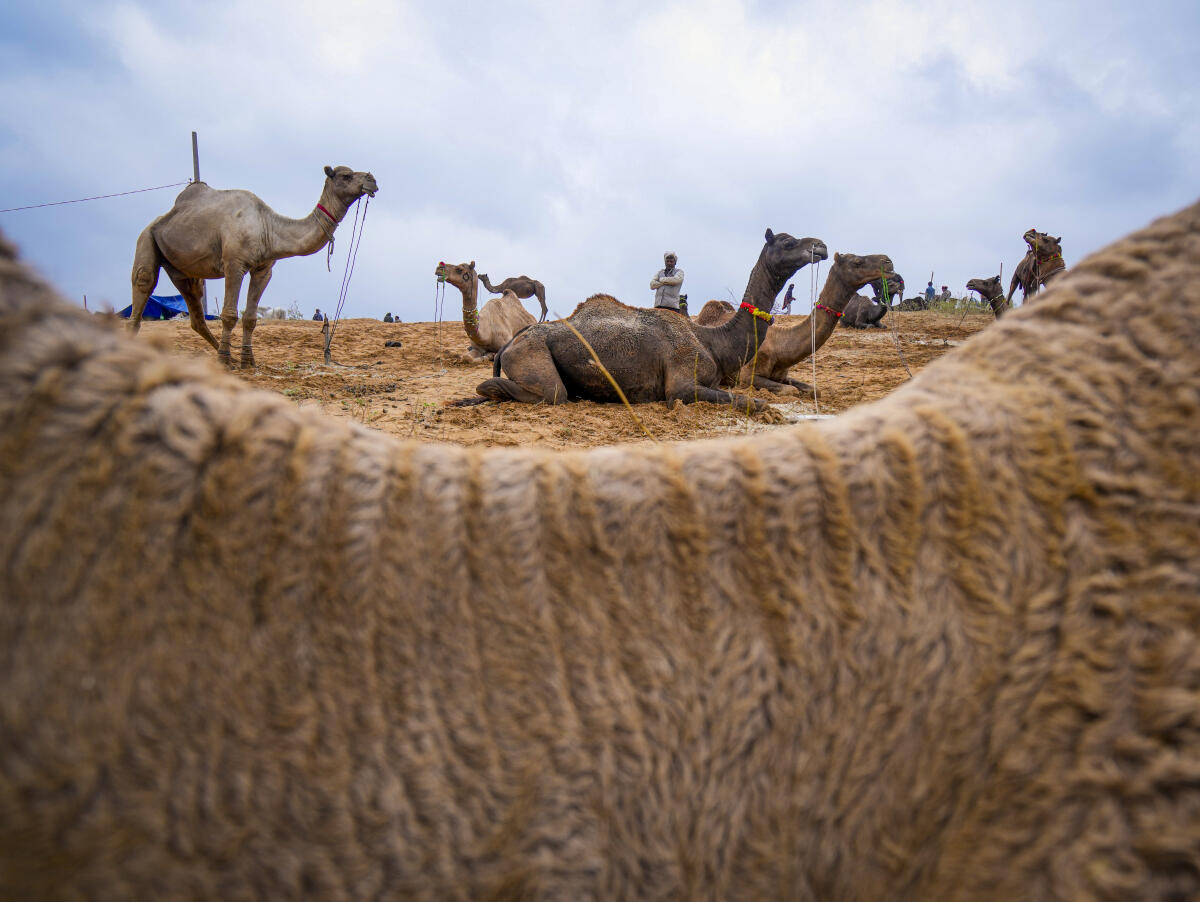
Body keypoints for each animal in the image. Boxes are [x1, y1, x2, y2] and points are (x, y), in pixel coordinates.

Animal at [129, 164, 378, 367]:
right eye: (346, 175)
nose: (372, 179)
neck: (267, 227)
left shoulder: (263, 269)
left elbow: (250, 318)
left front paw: (247, 361)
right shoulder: (234, 264)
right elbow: (229, 314)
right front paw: (225, 360)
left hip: (181, 270)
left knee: (195, 309)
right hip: (146, 238)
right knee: (144, 282)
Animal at [470, 231, 827, 410]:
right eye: (788, 242)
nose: (820, 246)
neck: (713, 340)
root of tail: (509, 345)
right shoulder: (681, 384)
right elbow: (758, 403)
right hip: (532, 356)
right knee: (546, 392)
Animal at [696, 251, 897, 395]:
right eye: (857, 262)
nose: (888, 261)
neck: (780, 346)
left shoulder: (783, 374)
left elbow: (813, 390)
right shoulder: (746, 376)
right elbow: (791, 391)